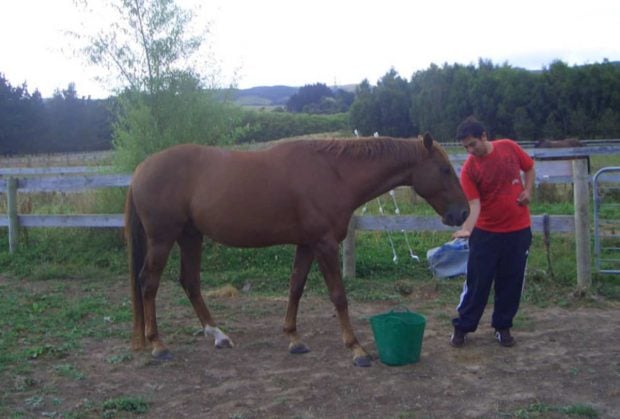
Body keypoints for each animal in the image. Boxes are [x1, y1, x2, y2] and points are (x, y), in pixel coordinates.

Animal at [124, 133, 464, 366]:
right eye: (445, 169)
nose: (461, 214)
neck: (334, 172)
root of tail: (141, 169)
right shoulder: (324, 244)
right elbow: (338, 296)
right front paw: (356, 348)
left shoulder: (307, 244)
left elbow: (296, 288)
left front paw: (294, 338)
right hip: (162, 239)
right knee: (149, 283)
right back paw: (158, 345)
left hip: (190, 237)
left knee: (190, 282)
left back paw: (217, 335)